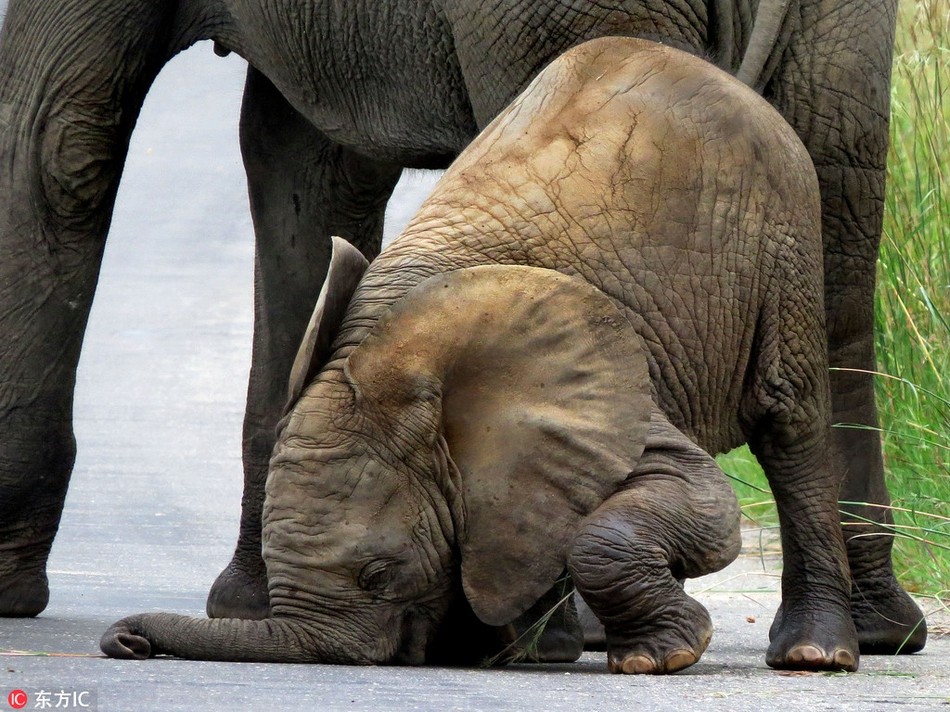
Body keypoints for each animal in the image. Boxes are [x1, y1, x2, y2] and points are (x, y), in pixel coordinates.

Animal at [0, 0, 924, 656]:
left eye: (379, 576)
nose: (123, 639)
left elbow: (57, 142)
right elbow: (307, 179)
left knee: (790, 406)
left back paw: (798, 649)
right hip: (837, 40)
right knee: (847, 228)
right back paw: (882, 632)